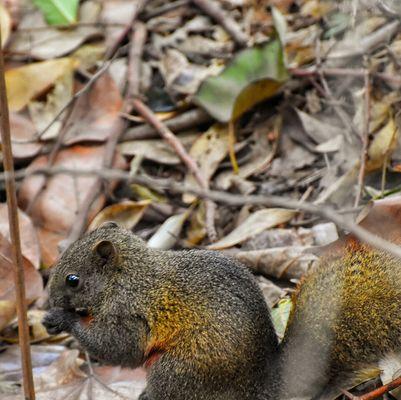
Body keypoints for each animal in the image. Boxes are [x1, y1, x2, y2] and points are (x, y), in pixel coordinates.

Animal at [41, 220, 401, 398]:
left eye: (73, 279)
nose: (49, 300)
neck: (126, 277)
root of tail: (258, 389)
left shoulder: (129, 310)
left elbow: (120, 348)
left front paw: (63, 319)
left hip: (178, 370)